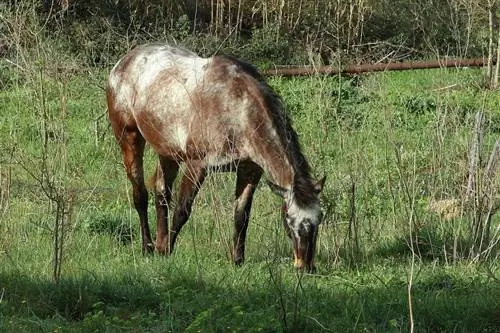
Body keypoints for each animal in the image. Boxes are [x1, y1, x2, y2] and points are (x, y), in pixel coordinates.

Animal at [106, 43, 326, 270]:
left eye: (320, 218)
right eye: (289, 219)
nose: (305, 266)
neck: (238, 110)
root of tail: (123, 62)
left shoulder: (249, 171)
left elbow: (241, 216)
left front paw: (237, 260)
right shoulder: (197, 165)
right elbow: (182, 210)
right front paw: (168, 251)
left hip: (168, 152)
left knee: (162, 195)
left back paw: (158, 244)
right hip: (129, 139)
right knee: (140, 195)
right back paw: (148, 247)